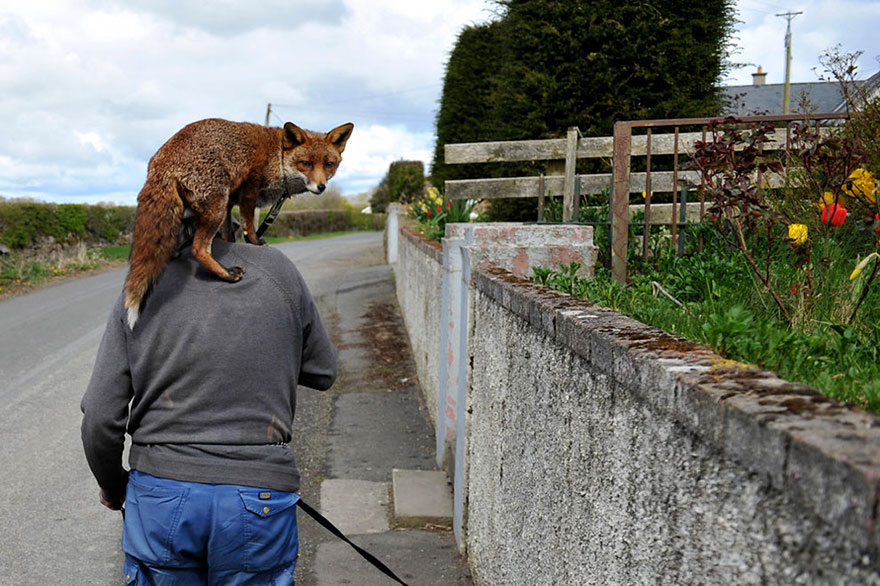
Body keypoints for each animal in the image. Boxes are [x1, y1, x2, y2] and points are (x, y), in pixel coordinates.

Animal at [124, 118, 354, 328]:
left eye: (329, 164)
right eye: (306, 163)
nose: (321, 187)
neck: (277, 155)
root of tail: (160, 161)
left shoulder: (230, 204)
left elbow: (229, 235)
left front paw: (233, 243)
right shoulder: (249, 189)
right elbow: (248, 225)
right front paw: (255, 242)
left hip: (206, 209)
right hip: (215, 208)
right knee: (199, 249)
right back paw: (227, 274)